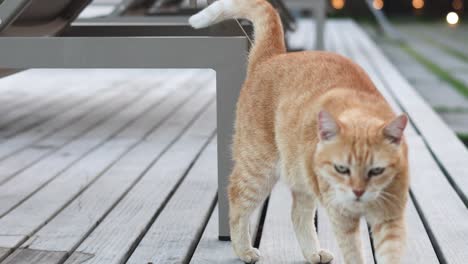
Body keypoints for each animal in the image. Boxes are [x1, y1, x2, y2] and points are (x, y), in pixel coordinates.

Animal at [192, 1, 408, 262]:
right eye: (341, 169)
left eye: (376, 170)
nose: (357, 191)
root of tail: (273, 56)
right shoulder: (342, 217)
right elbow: (354, 252)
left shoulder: (390, 218)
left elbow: (391, 253)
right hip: (259, 169)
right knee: (237, 199)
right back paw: (244, 250)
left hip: (300, 176)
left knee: (297, 214)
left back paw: (313, 253)